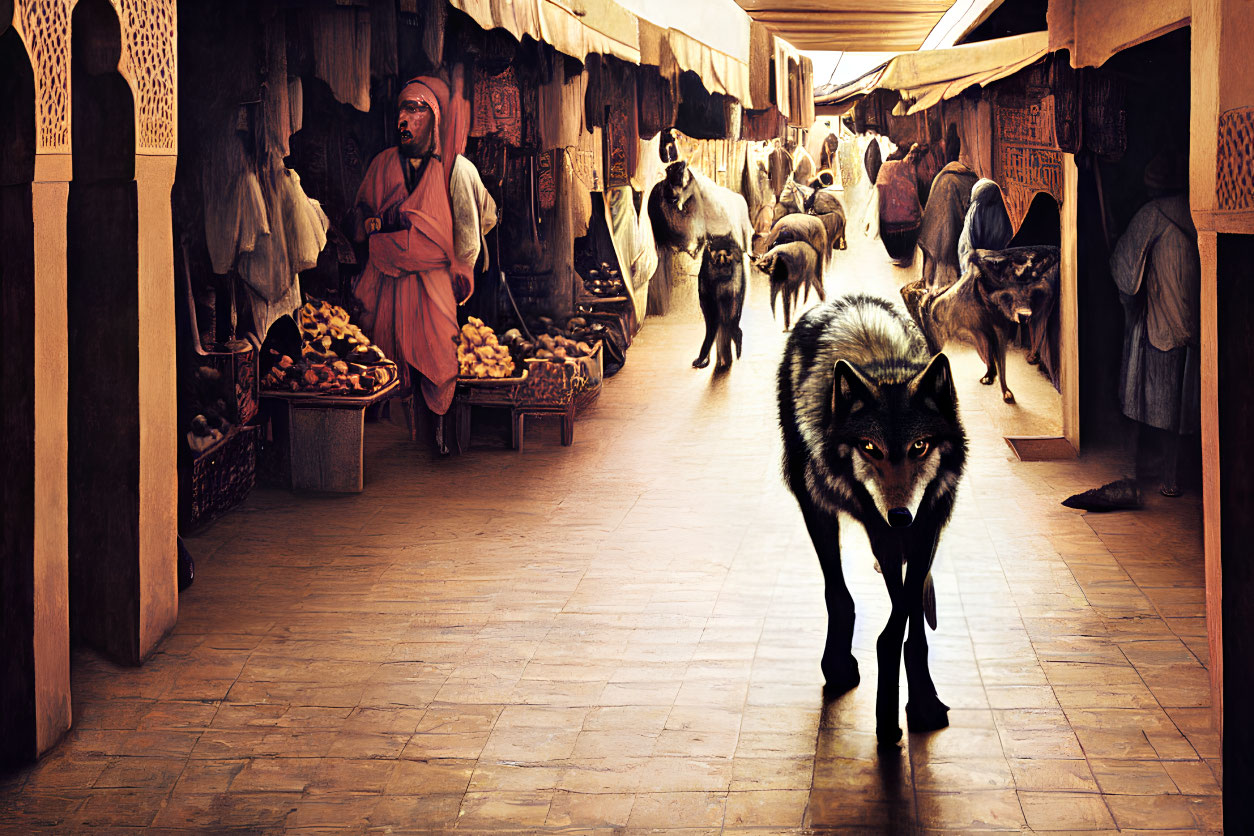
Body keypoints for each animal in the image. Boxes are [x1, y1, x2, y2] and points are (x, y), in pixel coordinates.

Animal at [772, 294, 968, 747]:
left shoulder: (928, 523)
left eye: (920, 446)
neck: (883, 363)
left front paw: (922, 701)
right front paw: (889, 713)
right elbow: (891, 619)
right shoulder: (882, 529)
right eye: (870, 447)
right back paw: (837, 665)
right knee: (837, 592)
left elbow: (910, 620)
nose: (900, 515)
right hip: (814, 502)